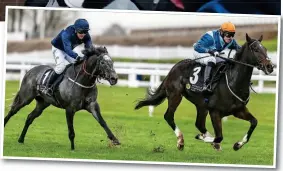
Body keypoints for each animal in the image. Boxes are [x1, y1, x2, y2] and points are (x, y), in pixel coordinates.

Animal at [135, 33, 276, 151]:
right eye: (256, 49)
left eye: (265, 49)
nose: (270, 66)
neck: (233, 81)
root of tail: (174, 68)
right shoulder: (215, 112)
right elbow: (219, 137)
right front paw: (205, 139)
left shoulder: (238, 110)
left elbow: (254, 122)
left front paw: (237, 145)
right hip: (175, 95)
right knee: (169, 116)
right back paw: (181, 141)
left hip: (201, 105)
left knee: (199, 123)